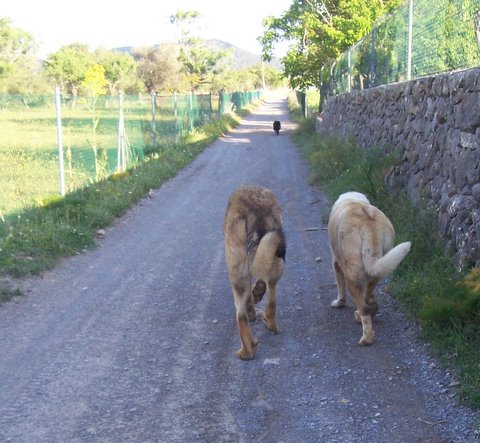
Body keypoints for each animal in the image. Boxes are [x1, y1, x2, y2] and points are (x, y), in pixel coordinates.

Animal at [328, 193, 410, 346]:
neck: (352, 200)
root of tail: (368, 224)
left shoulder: (336, 262)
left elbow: (340, 287)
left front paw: (339, 303)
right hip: (377, 265)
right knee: (368, 296)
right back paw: (368, 312)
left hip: (352, 274)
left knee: (363, 307)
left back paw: (366, 337)